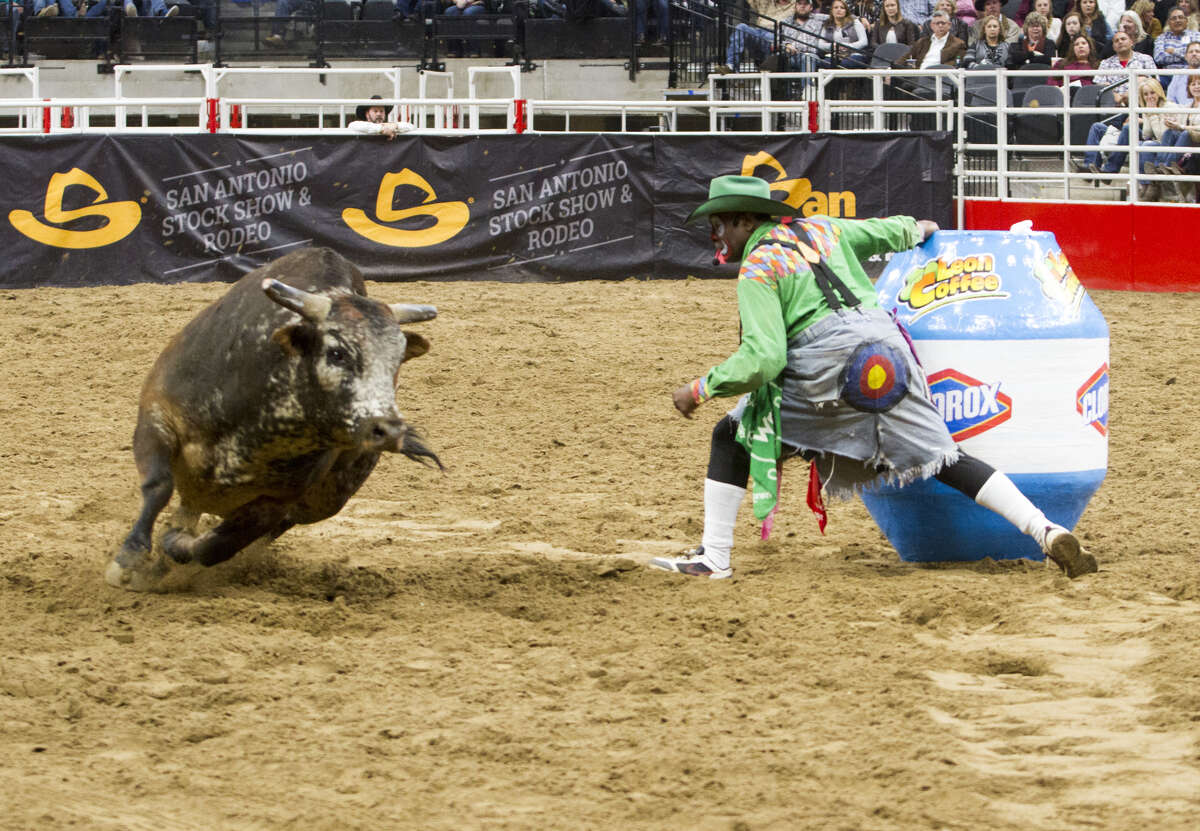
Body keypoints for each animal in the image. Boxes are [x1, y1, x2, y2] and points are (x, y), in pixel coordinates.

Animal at [105, 246, 444, 590]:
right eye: (337, 353)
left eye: (397, 361)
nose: (388, 430)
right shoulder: (157, 416)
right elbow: (158, 486)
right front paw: (129, 560)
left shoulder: (279, 500)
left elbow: (216, 546)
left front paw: (174, 545)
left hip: (322, 502)